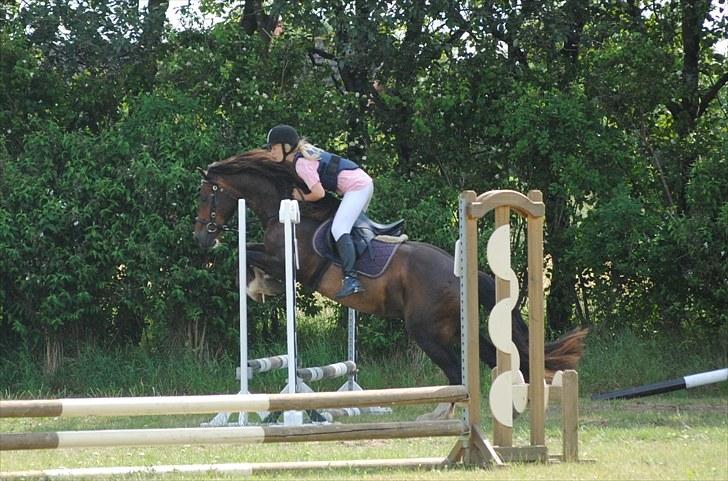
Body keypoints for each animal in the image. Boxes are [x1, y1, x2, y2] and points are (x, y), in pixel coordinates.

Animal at [192, 150, 584, 416]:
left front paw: (258, 285)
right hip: (448, 328)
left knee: (456, 370)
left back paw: (444, 415)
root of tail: (459, 271)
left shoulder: (293, 263)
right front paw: (263, 285)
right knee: (488, 358)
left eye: (206, 195)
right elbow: (249, 252)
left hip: (426, 330)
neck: (284, 207)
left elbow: (246, 254)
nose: (202, 239)